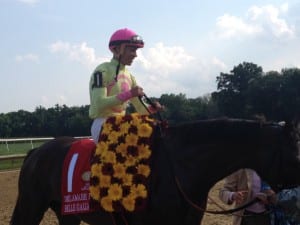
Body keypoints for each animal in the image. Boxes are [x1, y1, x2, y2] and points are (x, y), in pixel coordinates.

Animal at [10, 118, 300, 224]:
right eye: (295, 155)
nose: (294, 200)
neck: (180, 168)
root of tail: (36, 152)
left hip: (68, 212)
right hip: (31, 207)